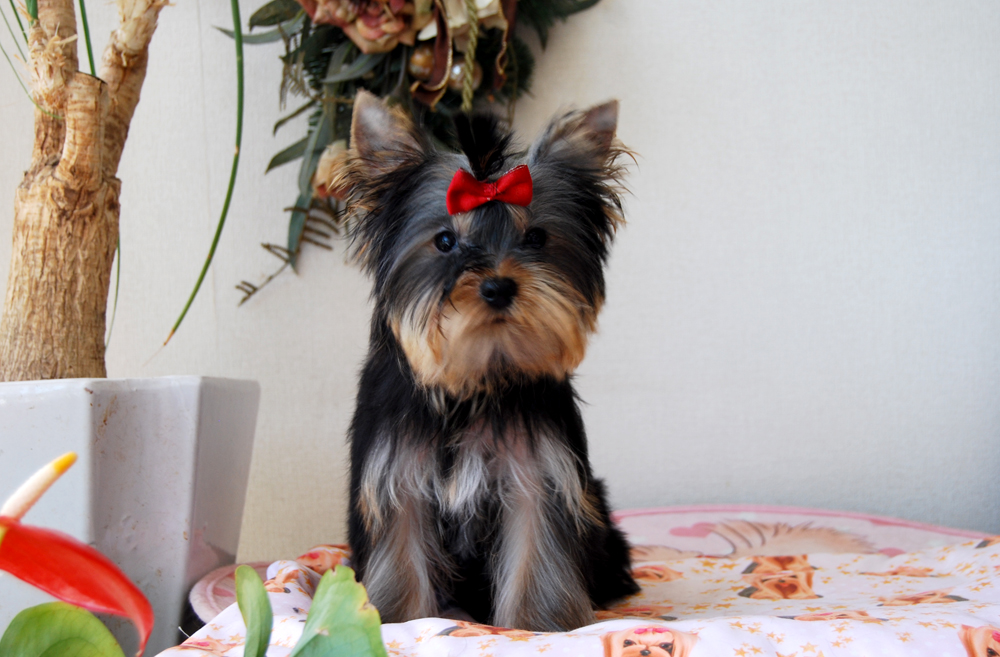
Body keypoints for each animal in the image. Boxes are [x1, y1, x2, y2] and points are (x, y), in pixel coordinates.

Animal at [330, 90, 639, 631]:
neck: (476, 377)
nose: (497, 286)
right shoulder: (397, 475)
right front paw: (399, 623)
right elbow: (400, 555)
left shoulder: (538, 473)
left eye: (536, 238)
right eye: (445, 241)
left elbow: (537, 552)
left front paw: (538, 627)